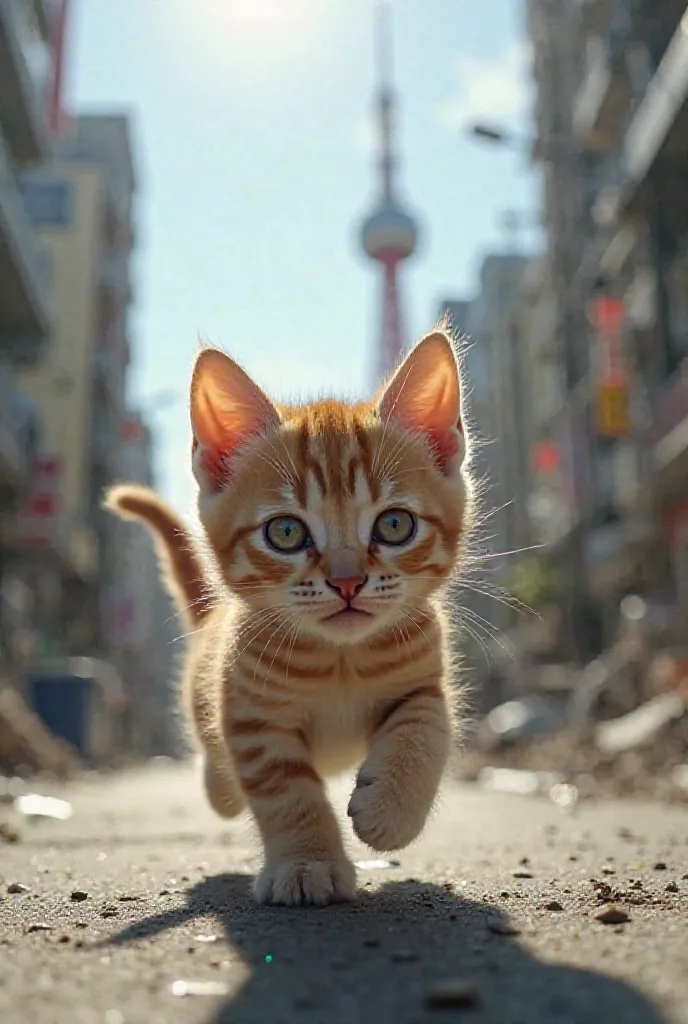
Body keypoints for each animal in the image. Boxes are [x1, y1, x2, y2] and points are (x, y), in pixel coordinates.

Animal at [105, 325, 466, 905]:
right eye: (287, 532)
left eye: (394, 525)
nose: (347, 581)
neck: (341, 660)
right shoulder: (254, 721)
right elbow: (288, 796)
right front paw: (307, 863)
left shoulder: (424, 681)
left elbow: (426, 729)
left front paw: (391, 812)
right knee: (221, 774)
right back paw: (221, 785)